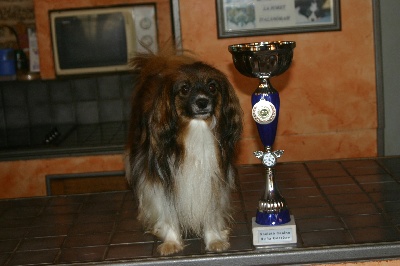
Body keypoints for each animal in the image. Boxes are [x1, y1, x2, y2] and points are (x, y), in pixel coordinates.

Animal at [125, 50, 242, 256]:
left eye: (212, 87)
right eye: (184, 89)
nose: (202, 102)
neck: (196, 128)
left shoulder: (212, 179)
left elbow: (210, 212)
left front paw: (214, 239)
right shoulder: (161, 180)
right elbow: (167, 213)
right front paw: (171, 241)